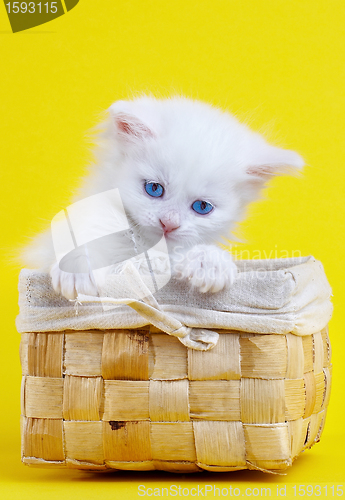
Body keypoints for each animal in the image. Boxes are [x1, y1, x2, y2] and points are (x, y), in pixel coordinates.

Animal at [21, 96, 302, 298]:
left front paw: (210, 263)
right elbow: (77, 239)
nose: (169, 223)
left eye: (202, 207)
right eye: (154, 189)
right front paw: (79, 267)